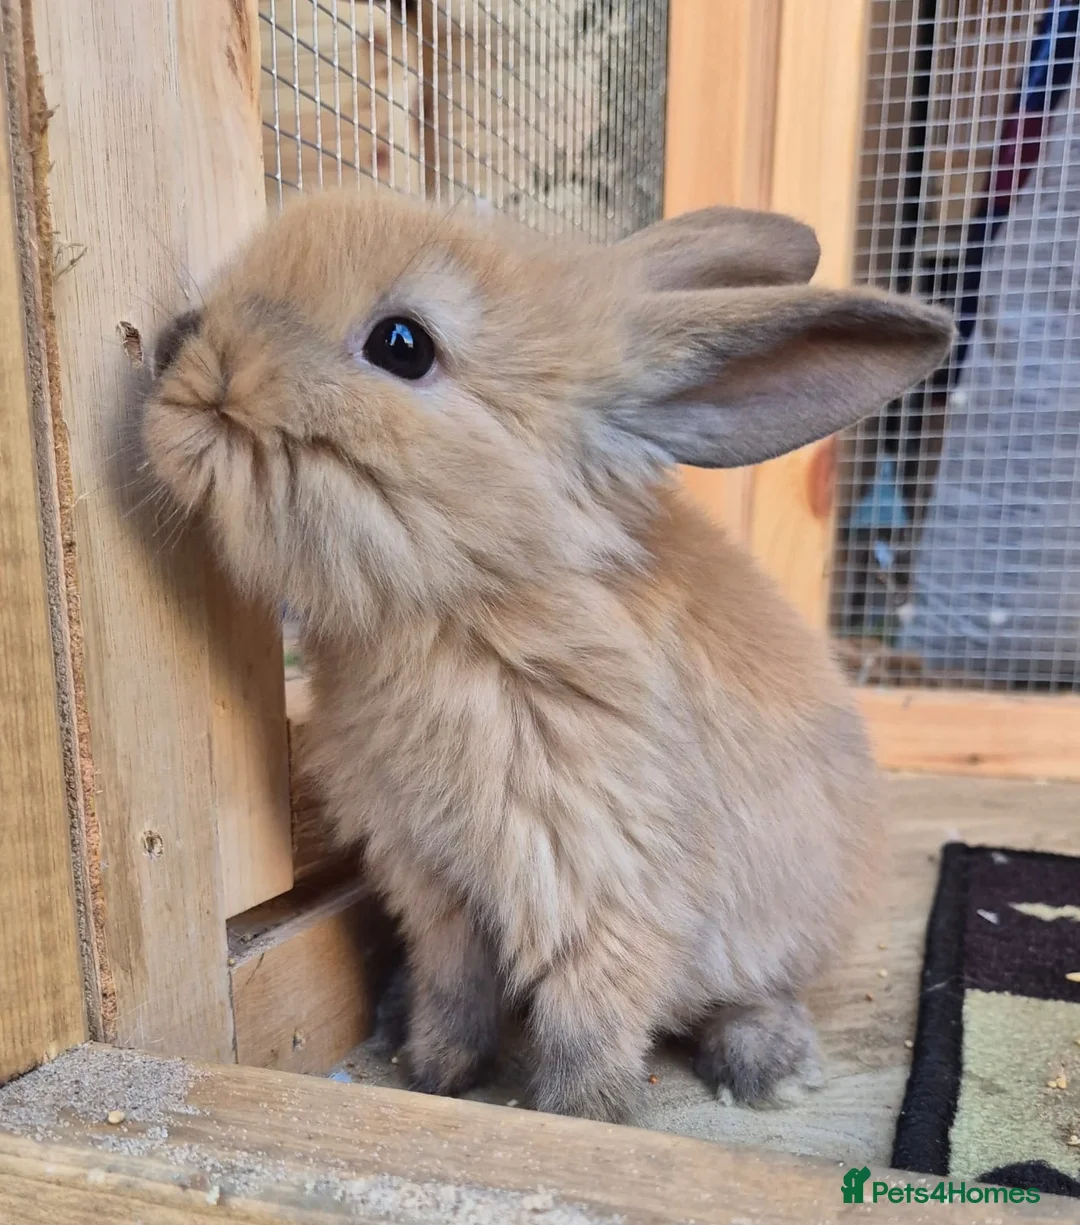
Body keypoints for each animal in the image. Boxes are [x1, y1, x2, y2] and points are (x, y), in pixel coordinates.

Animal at [143, 187, 954, 1123]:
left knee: (756, 992)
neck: (470, 595)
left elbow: (586, 1030)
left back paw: (767, 1065)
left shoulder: (592, 883)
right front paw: (437, 1072)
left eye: (401, 344)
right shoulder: (435, 886)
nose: (174, 347)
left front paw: (575, 1118)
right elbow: (453, 987)